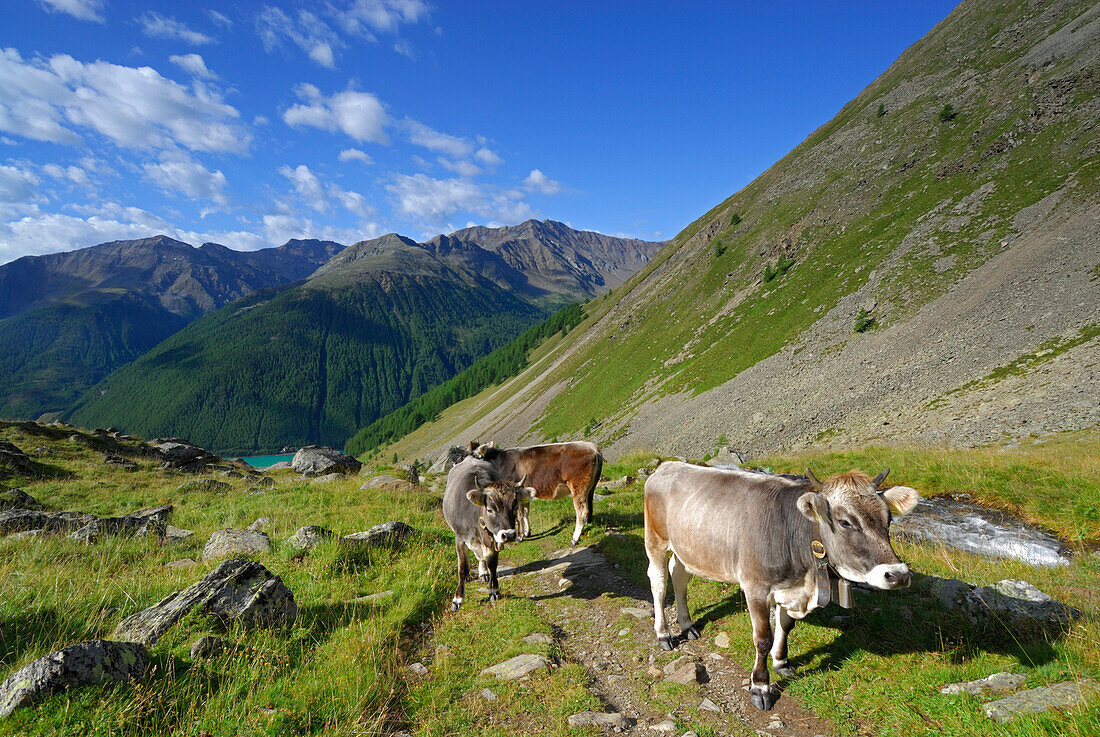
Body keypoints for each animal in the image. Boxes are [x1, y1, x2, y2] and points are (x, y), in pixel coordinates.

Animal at [477, 442, 607, 545]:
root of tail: (592, 447)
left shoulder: (515, 494)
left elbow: (519, 516)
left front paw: (519, 537)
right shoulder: (524, 495)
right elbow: (525, 512)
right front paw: (527, 532)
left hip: (578, 489)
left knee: (582, 513)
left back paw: (574, 539)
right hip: (590, 489)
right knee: (589, 508)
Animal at [642, 464, 919, 712]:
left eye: (889, 519)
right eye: (845, 522)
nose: (898, 575)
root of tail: (666, 466)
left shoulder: (791, 588)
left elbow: (786, 626)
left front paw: (781, 661)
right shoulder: (756, 587)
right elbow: (763, 638)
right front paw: (760, 687)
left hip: (685, 549)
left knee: (678, 575)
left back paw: (687, 625)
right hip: (655, 541)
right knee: (659, 582)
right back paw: (664, 634)